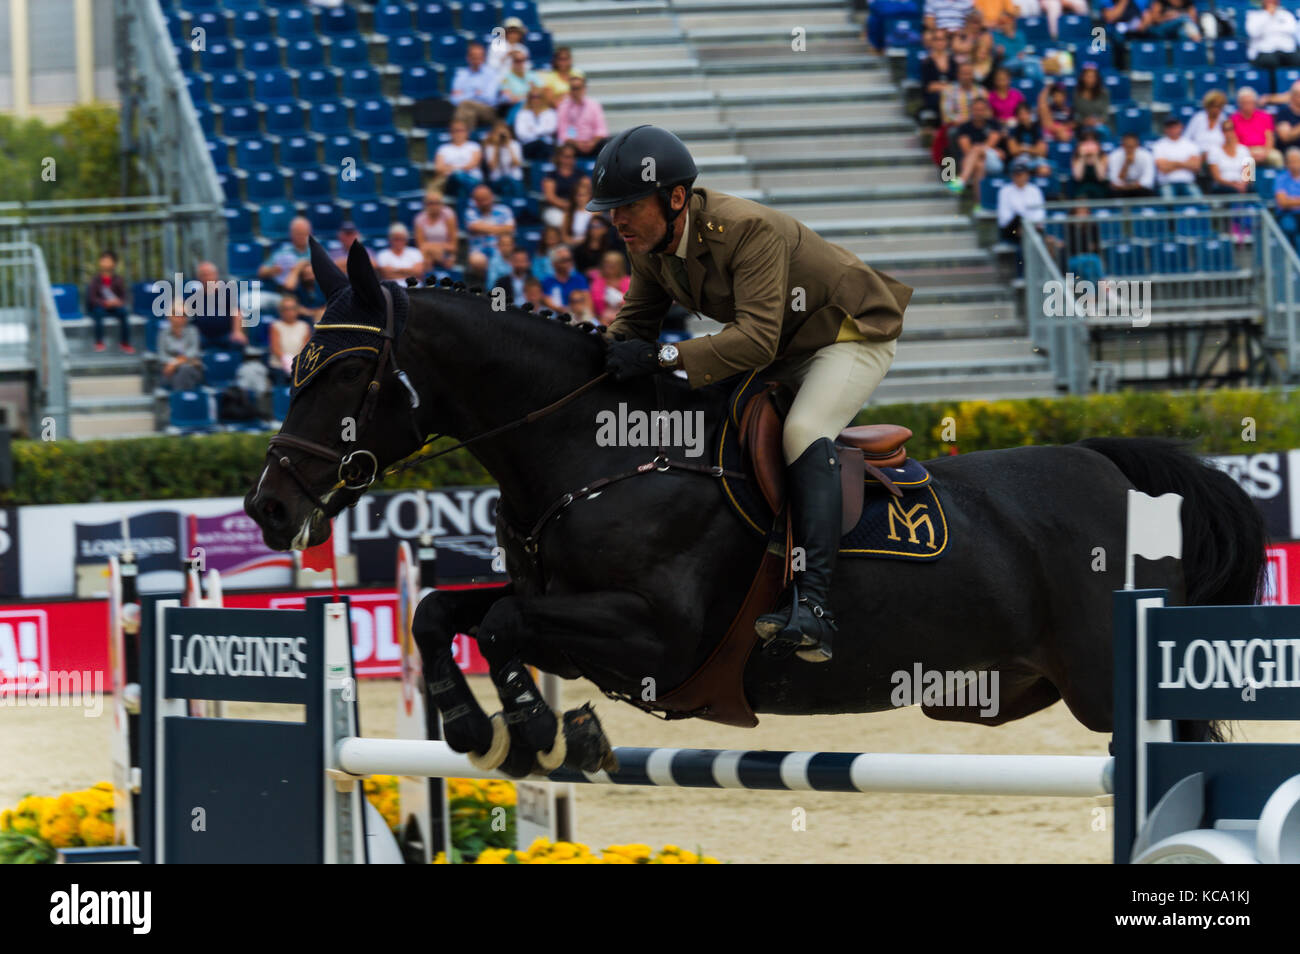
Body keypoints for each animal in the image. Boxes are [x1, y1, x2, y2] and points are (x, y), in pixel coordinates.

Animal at [241, 239, 1258, 779]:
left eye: (343, 373)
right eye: (291, 366)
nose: (268, 508)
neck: (597, 453)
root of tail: (1116, 469)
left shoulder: (656, 636)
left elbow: (499, 623)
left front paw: (535, 732)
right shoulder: (559, 604)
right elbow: (438, 610)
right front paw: (473, 728)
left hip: (1111, 687)